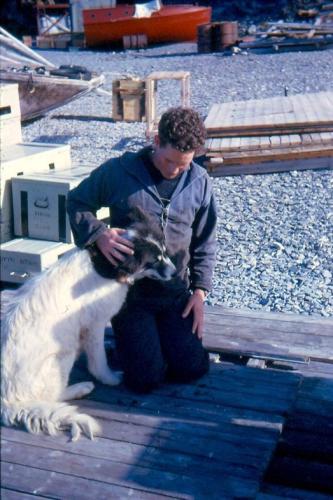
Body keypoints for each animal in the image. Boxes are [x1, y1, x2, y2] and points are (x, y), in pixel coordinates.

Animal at [0, 213, 174, 440]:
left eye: (164, 252)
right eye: (154, 260)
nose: (175, 272)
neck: (109, 265)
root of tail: (7, 402)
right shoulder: (95, 324)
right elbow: (98, 361)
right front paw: (109, 378)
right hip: (62, 355)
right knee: (52, 397)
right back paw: (80, 388)